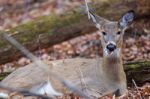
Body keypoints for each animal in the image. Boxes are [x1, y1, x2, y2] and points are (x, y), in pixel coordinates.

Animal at [0, 9, 135, 98]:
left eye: (119, 32)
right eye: (103, 32)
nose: (111, 46)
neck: (110, 79)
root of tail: (5, 79)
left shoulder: (124, 89)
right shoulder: (79, 83)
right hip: (35, 75)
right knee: (13, 94)